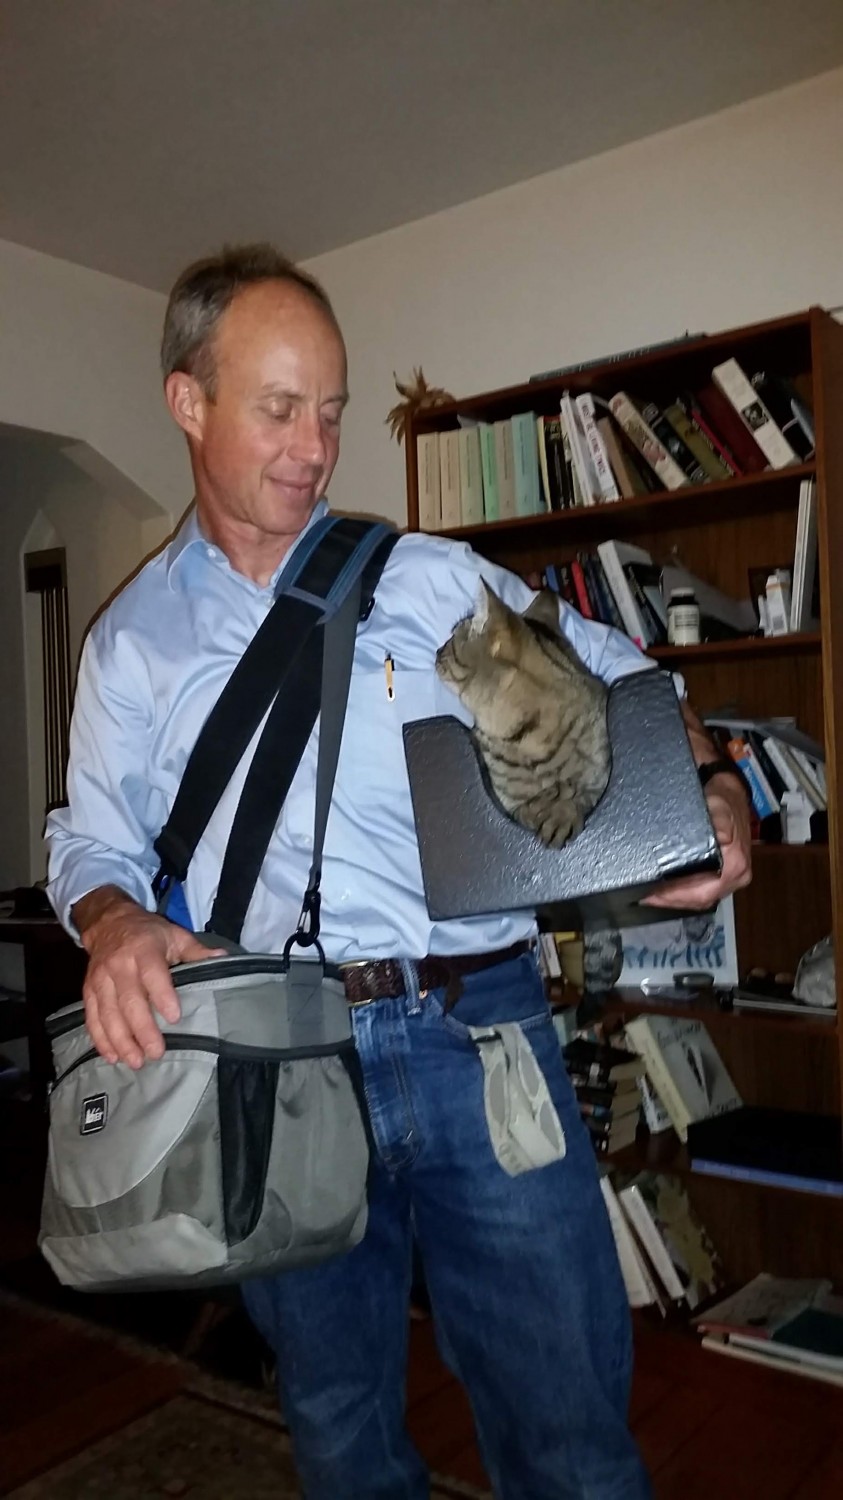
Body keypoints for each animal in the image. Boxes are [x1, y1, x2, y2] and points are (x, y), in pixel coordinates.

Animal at [435, 582, 606, 852]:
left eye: (452, 638)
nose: (437, 650)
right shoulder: (507, 803)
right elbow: (522, 808)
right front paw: (540, 806)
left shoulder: (600, 776)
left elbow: (582, 795)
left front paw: (562, 813)